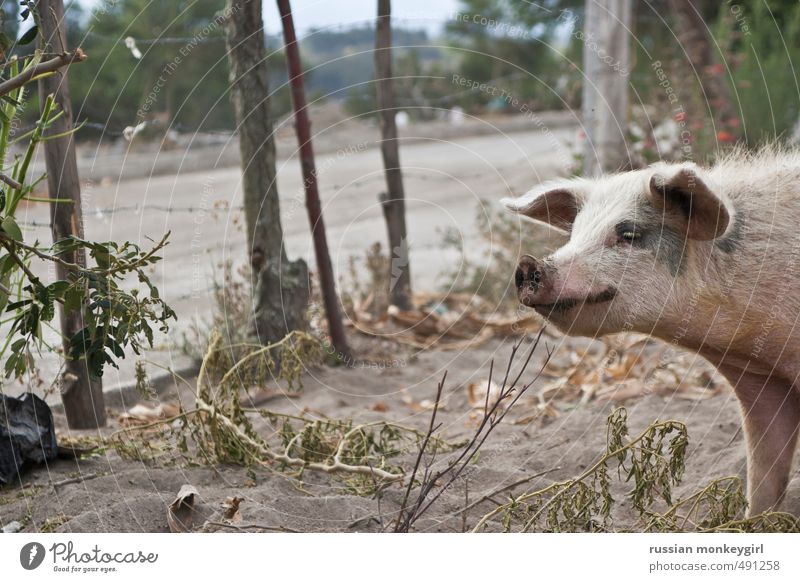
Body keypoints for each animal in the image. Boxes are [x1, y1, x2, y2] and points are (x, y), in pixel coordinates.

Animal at [506, 147, 800, 516]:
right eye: (574, 234)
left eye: (629, 234)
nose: (528, 265)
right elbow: (763, 474)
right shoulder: (760, 381)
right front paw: (751, 520)